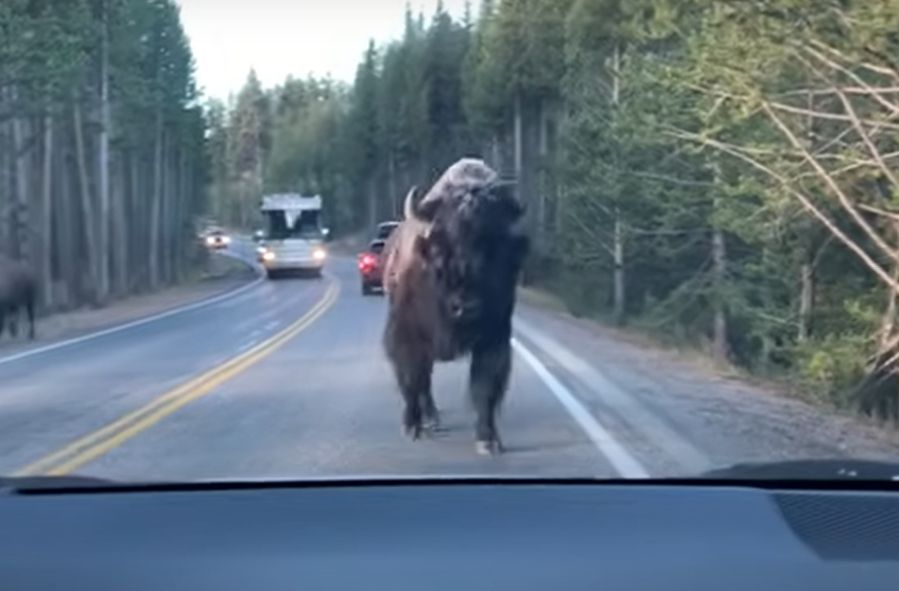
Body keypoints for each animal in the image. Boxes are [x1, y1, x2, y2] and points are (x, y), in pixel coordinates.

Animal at [380, 160, 528, 456]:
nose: (466, 306)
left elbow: (484, 386)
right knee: (423, 381)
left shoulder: (495, 338)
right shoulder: (406, 336)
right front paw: (411, 427)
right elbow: (411, 380)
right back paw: (428, 419)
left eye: (494, 245)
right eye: (442, 245)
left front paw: (488, 440)